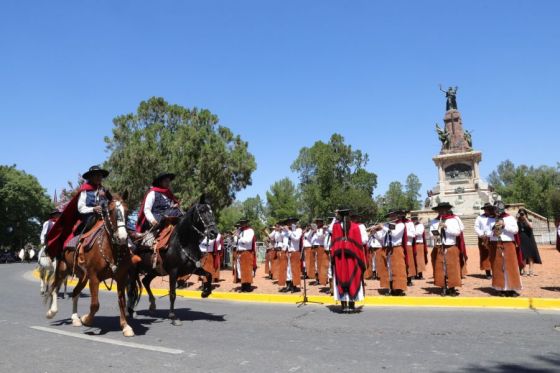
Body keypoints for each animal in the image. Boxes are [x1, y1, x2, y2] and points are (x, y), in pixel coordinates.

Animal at [46, 192, 142, 338]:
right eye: (111, 211)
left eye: (127, 211)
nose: (122, 237)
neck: (110, 250)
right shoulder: (94, 277)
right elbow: (95, 304)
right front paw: (87, 319)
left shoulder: (121, 278)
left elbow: (121, 302)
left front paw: (126, 326)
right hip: (63, 270)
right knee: (54, 288)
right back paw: (52, 312)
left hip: (82, 277)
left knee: (75, 293)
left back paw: (75, 318)